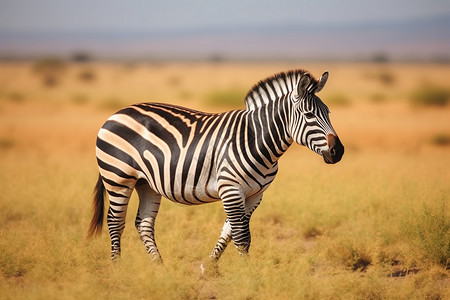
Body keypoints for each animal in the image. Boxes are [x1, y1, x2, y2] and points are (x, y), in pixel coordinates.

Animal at [87, 69, 344, 264]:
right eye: (309, 115)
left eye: (328, 112)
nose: (338, 152)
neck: (256, 139)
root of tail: (117, 113)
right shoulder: (230, 188)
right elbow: (241, 236)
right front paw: (247, 274)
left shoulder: (254, 194)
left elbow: (230, 232)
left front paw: (209, 266)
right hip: (118, 177)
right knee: (115, 221)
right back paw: (117, 267)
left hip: (146, 183)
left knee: (144, 224)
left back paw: (159, 266)